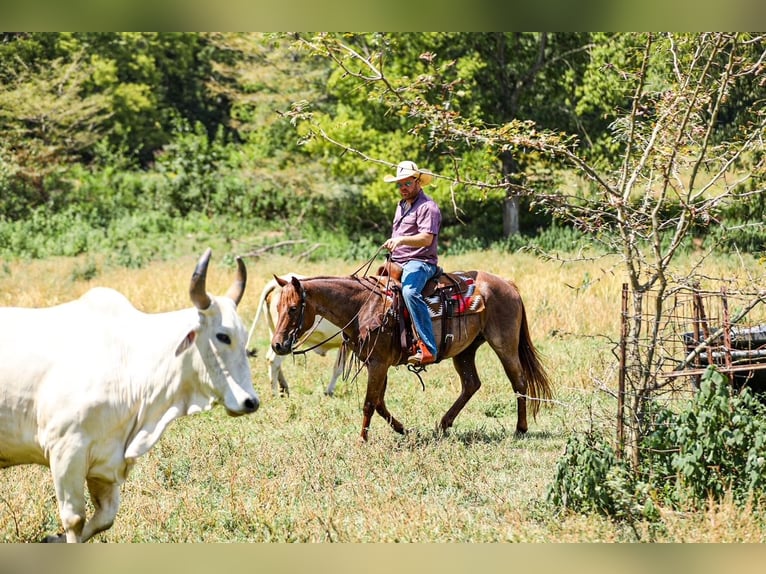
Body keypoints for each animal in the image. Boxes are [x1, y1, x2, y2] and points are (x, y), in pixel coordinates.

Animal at [271, 269, 552, 441]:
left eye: (293, 308)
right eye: (277, 306)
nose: (277, 345)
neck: (363, 306)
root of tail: (508, 284)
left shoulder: (378, 363)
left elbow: (369, 402)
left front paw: (362, 439)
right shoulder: (377, 363)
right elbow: (379, 402)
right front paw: (402, 429)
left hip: (504, 344)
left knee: (519, 381)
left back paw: (520, 428)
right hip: (465, 351)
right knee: (471, 384)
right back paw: (443, 424)